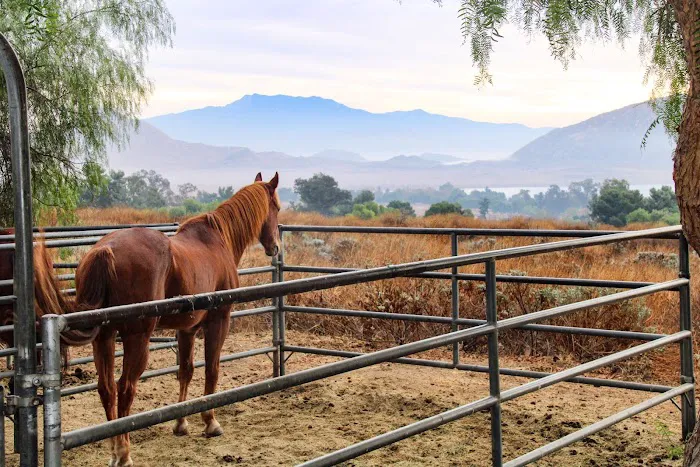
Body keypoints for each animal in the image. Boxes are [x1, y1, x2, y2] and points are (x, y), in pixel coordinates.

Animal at [65, 172, 280, 467]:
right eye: (277, 208)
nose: (276, 247)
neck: (218, 240)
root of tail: (105, 250)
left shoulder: (186, 329)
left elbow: (185, 371)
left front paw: (181, 423)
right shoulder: (219, 321)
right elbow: (212, 369)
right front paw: (210, 422)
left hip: (104, 337)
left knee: (107, 388)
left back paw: (113, 450)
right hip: (137, 337)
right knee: (126, 387)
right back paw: (124, 453)